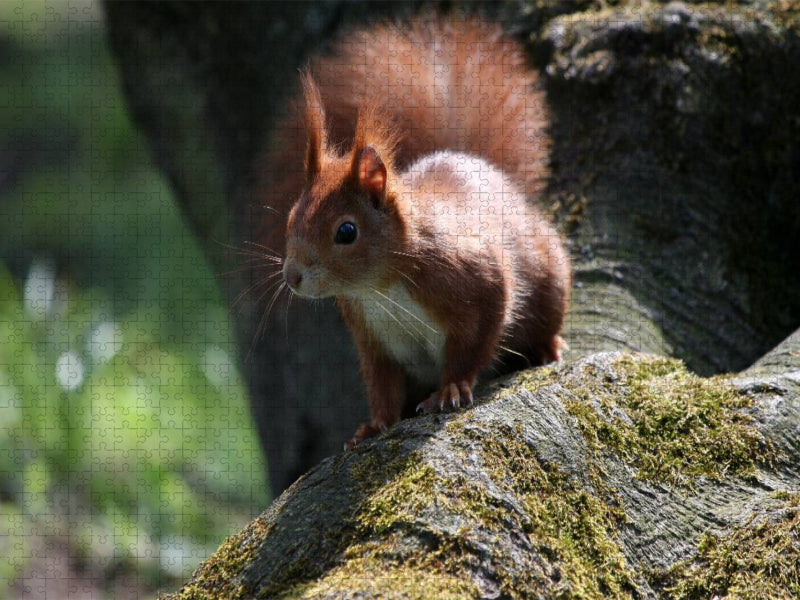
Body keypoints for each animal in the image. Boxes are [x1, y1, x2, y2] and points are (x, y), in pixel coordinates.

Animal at [256, 14, 571, 449]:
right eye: (290, 217)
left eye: (346, 231)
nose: (292, 276)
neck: (380, 287)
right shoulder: (373, 338)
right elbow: (382, 384)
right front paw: (375, 424)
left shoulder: (477, 279)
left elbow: (475, 342)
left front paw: (452, 388)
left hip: (549, 275)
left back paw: (547, 345)